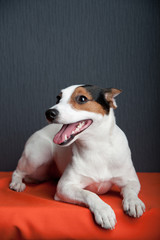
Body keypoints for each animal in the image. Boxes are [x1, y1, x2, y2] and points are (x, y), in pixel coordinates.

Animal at [9, 84, 146, 229]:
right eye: (58, 98)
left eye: (82, 98)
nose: (49, 113)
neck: (97, 147)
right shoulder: (64, 187)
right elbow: (89, 193)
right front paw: (103, 210)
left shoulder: (131, 180)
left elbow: (130, 191)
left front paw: (134, 202)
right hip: (35, 157)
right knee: (17, 171)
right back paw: (17, 183)